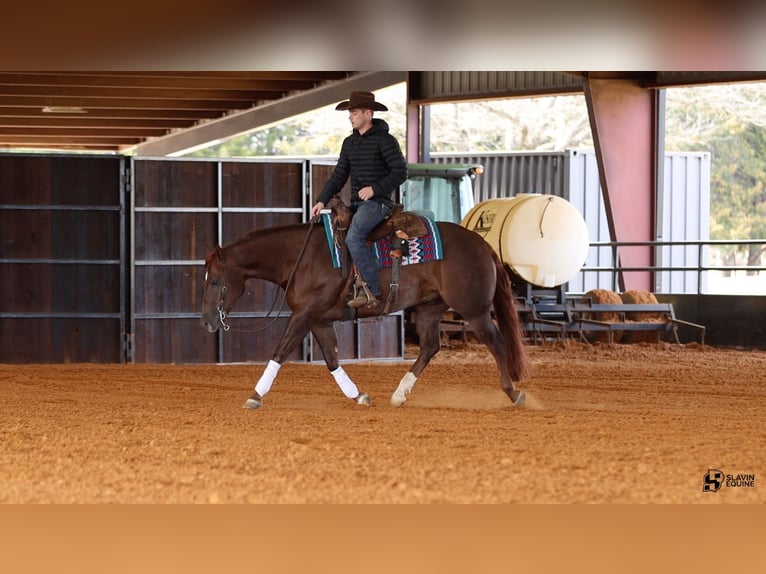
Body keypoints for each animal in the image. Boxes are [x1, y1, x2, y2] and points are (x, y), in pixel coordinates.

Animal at [200, 216, 529, 409]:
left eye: (215, 281)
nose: (206, 321)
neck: (302, 258)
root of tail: (483, 245)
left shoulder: (303, 315)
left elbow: (280, 351)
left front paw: (255, 395)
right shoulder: (318, 319)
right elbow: (332, 359)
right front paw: (358, 395)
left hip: (474, 311)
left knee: (497, 343)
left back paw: (513, 393)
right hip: (429, 309)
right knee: (429, 347)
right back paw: (399, 395)